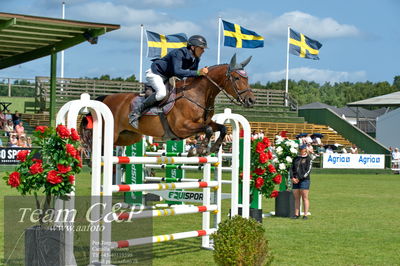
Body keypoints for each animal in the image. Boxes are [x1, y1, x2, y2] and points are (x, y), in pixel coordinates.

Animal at [81, 54, 256, 156]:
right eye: (237, 78)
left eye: (247, 78)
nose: (251, 100)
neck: (197, 94)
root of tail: (105, 98)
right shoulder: (182, 127)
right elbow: (206, 130)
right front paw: (198, 150)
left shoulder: (204, 123)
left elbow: (222, 128)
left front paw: (211, 149)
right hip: (111, 134)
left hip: (127, 137)